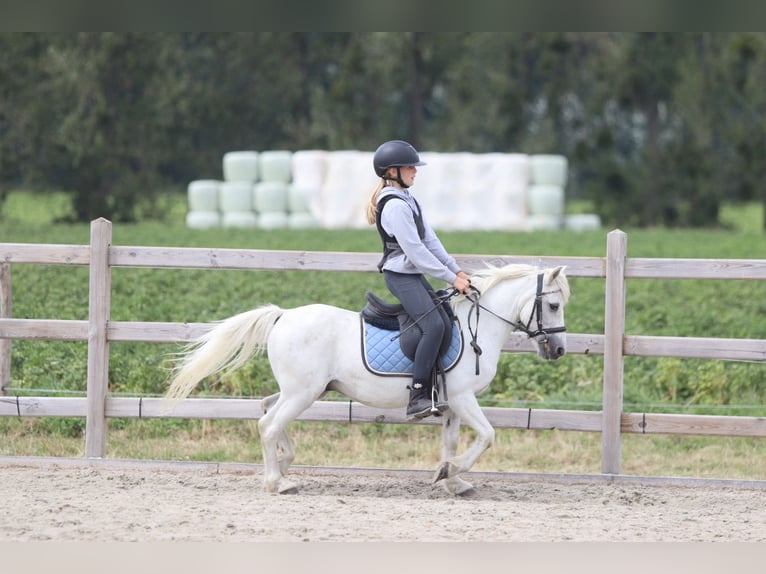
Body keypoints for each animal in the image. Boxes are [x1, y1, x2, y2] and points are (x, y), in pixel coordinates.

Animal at [164, 263, 570, 495]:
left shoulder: (453, 404)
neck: (478, 325)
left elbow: (452, 443)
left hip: (301, 390)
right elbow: (488, 435)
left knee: (266, 409)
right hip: (303, 393)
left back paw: (284, 463)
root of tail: (283, 315)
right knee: (268, 424)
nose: (559, 350)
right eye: (553, 305)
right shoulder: (464, 398)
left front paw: (452, 480)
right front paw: (451, 472)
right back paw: (278, 482)